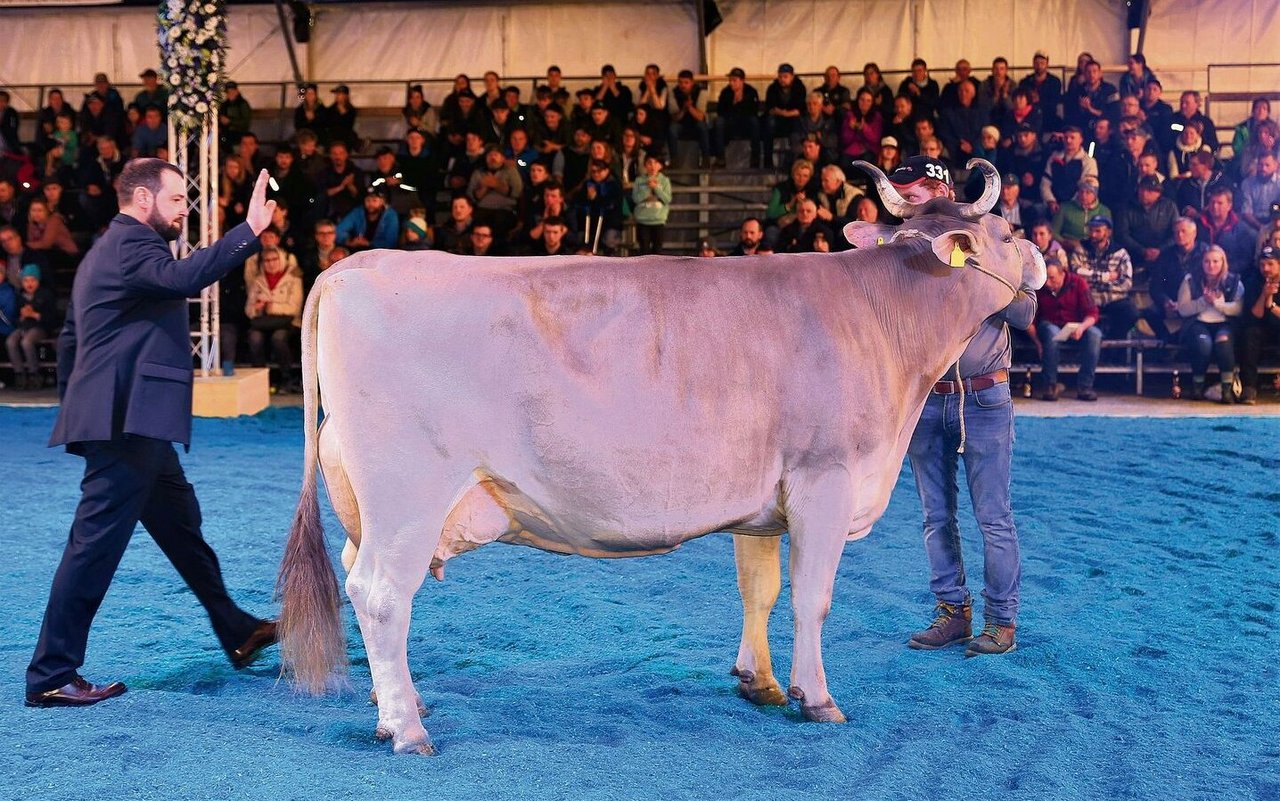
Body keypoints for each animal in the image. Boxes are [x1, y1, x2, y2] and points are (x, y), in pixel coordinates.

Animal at [277, 159, 1039, 752]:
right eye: (1007, 231)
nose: (1040, 257)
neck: (884, 316)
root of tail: (357, 265)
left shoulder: (764, 501)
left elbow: (759, 589)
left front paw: (759, 683)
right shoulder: (825, 478)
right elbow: (811, 597)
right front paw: (816, 697)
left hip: (367, 498)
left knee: (357, 574)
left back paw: (394, 709)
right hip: (408, 490)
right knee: (381, 592)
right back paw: (408, 730)